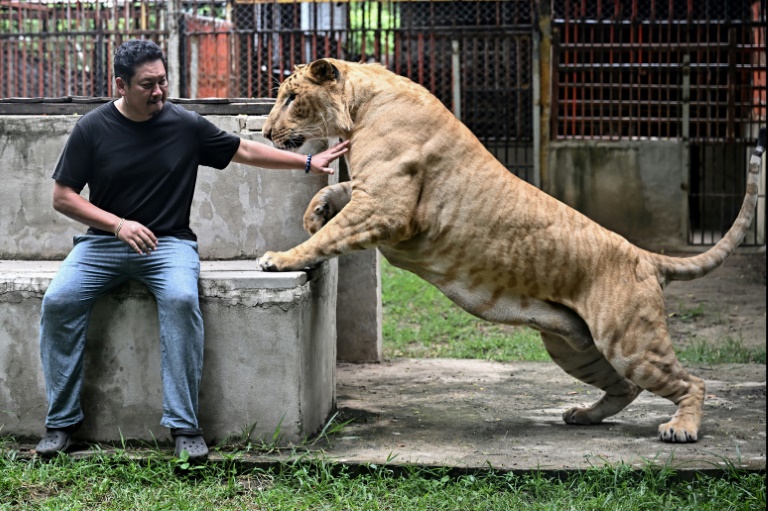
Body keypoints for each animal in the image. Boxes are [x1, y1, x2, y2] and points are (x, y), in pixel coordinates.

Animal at [260, 58, 765, 443]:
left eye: (290, 98)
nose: (264, 133)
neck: (362, 102)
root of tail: (646, 255)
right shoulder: (373, 195)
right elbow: (335, 196)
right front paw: (313, 212)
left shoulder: (387, 207)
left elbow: (331, 235)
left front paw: (281, 257)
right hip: (573, 347)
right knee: (624, 387)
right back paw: (582, 415)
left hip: (629, 340)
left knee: (690, 381)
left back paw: (681, 429)